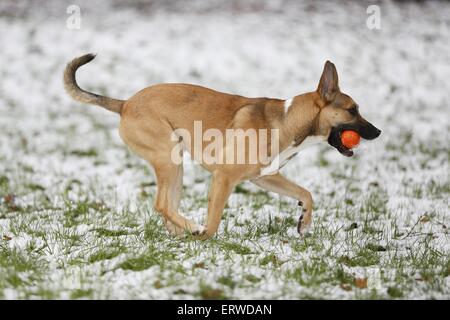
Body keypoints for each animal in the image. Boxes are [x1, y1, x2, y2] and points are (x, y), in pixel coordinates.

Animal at [63, 54, 380, 240]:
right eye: (352, 110)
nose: (378, 132)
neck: (287, 120)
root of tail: (125, 103)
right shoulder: (224, 178)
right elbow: (214, 219)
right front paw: (205, 238)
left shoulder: (265, 177)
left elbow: (306, 194)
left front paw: (304, 222)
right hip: (169, 158)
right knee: (161, 204)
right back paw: (191, 229)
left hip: (175, 166)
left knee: (167, 207)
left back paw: (180, 232)